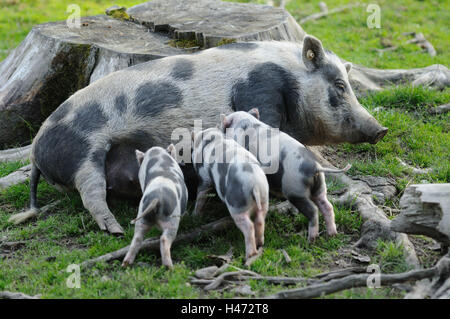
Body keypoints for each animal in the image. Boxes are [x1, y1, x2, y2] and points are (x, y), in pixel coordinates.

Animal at [12, 35, 388, 235]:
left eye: (349, 84)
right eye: (339, 86)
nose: (380, 129)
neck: (290, 74)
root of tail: (35, 151)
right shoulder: (260, 92)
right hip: (82, 150)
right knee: (90, 192)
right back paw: (115, 229)